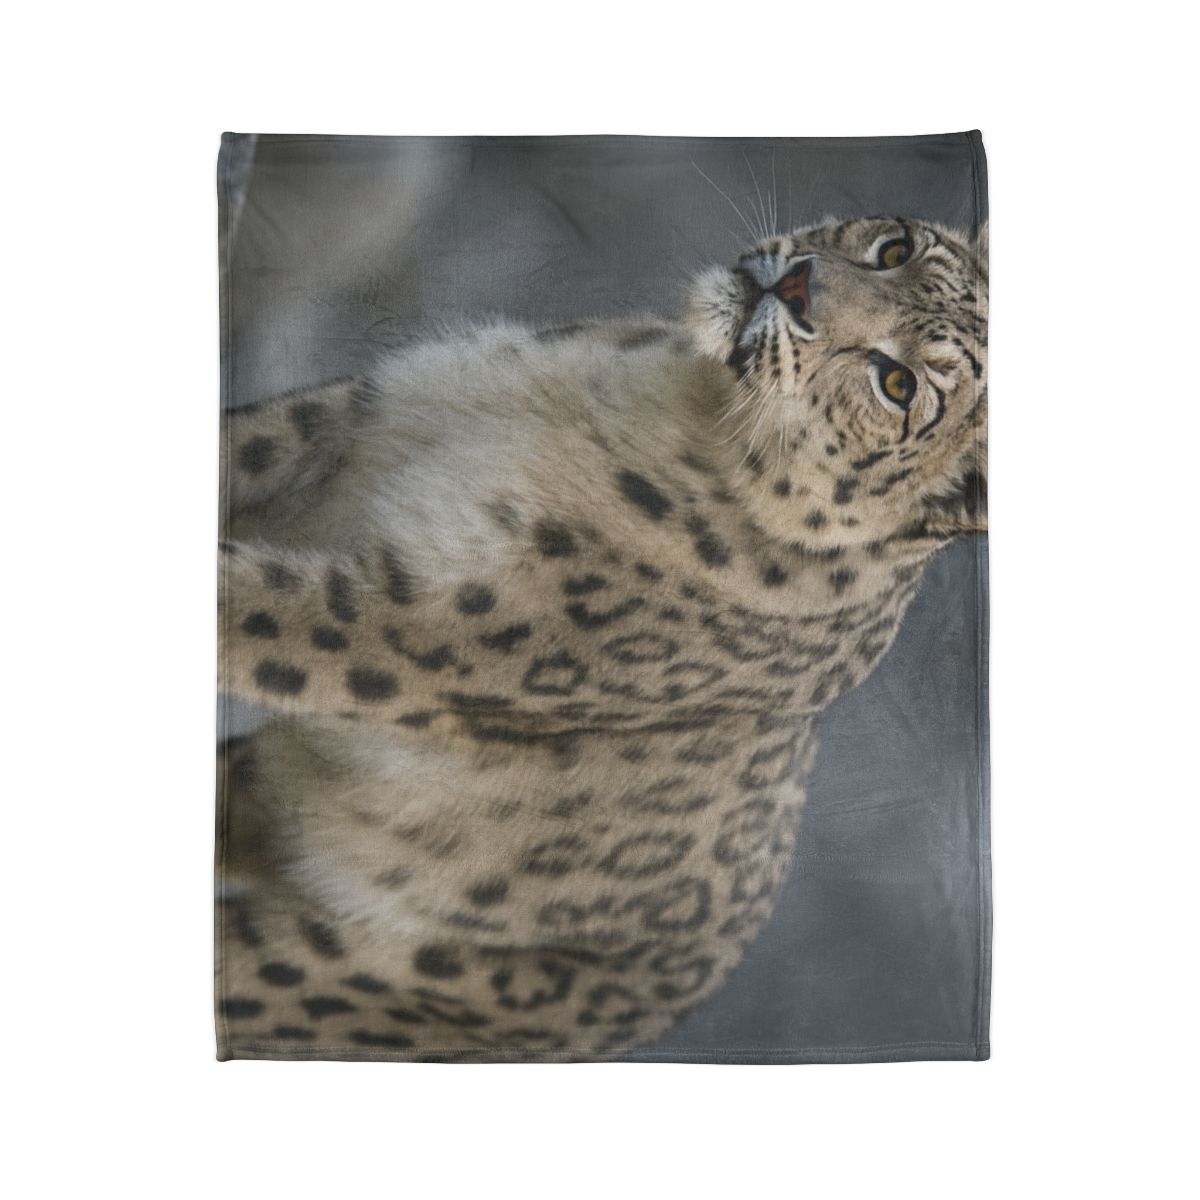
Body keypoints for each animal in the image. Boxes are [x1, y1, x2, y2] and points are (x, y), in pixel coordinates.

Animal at [216, 216, 987, 1061]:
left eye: (900, 384)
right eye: (895, 248)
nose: (796, 287)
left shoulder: (402, 625)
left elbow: (249, 609)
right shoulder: (353, 415)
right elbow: (239, 444)